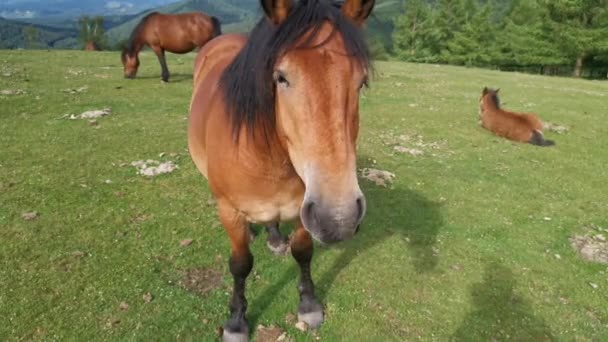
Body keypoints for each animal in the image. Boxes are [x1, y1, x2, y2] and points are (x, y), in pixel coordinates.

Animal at [188, 0, 376, 338]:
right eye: (281, 78)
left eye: (362, 81)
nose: (338, 218)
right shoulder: (229, 211)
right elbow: (240, 264)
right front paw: (236, 322)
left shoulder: (304, 208)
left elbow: (303, 251)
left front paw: (309, 305)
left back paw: (275, 238)